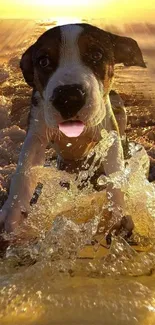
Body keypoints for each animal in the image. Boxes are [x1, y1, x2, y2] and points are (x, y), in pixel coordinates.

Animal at [0, 21, 146, 237]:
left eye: (96, 55)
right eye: (43, 61)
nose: (68, 97)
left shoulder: (109, 134)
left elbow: (115, 172)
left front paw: (116, 214)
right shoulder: (36, 132)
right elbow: (24, 170)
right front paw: (12, 213)